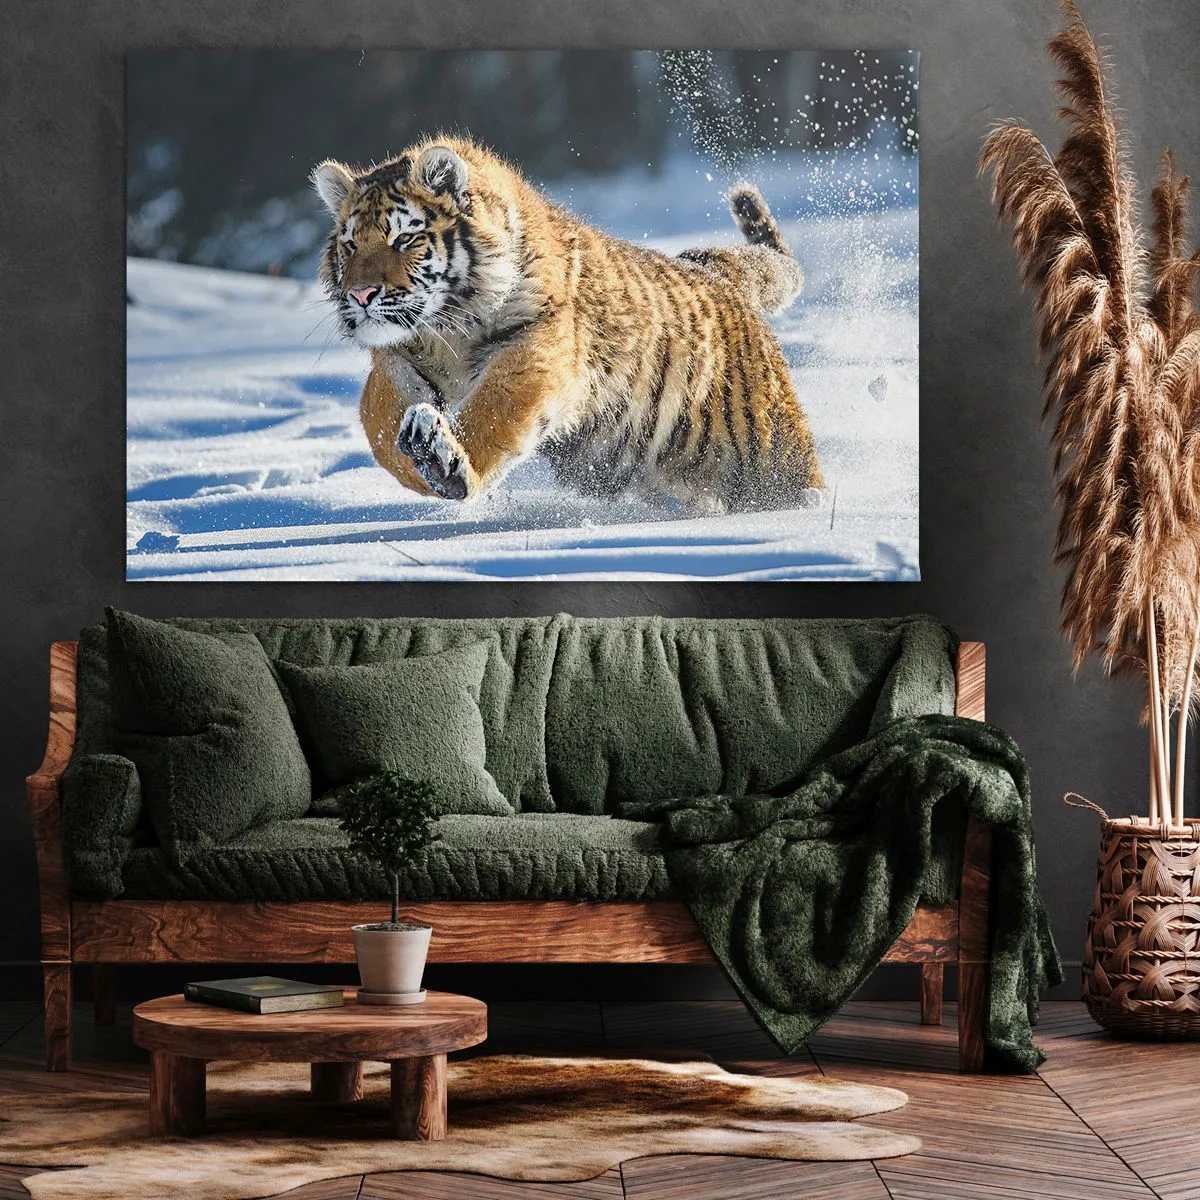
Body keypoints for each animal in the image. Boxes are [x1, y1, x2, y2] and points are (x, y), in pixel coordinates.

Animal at [311, 136, 824, 513]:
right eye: (350, 245)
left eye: (405, 238)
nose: (360, 295)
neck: (447, 328)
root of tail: (716, 272)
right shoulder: (398, 357)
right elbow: (377, 420)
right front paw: (416, 455)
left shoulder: (536, 347)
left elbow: (492, 411)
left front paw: (445, 463)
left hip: (768, 448)